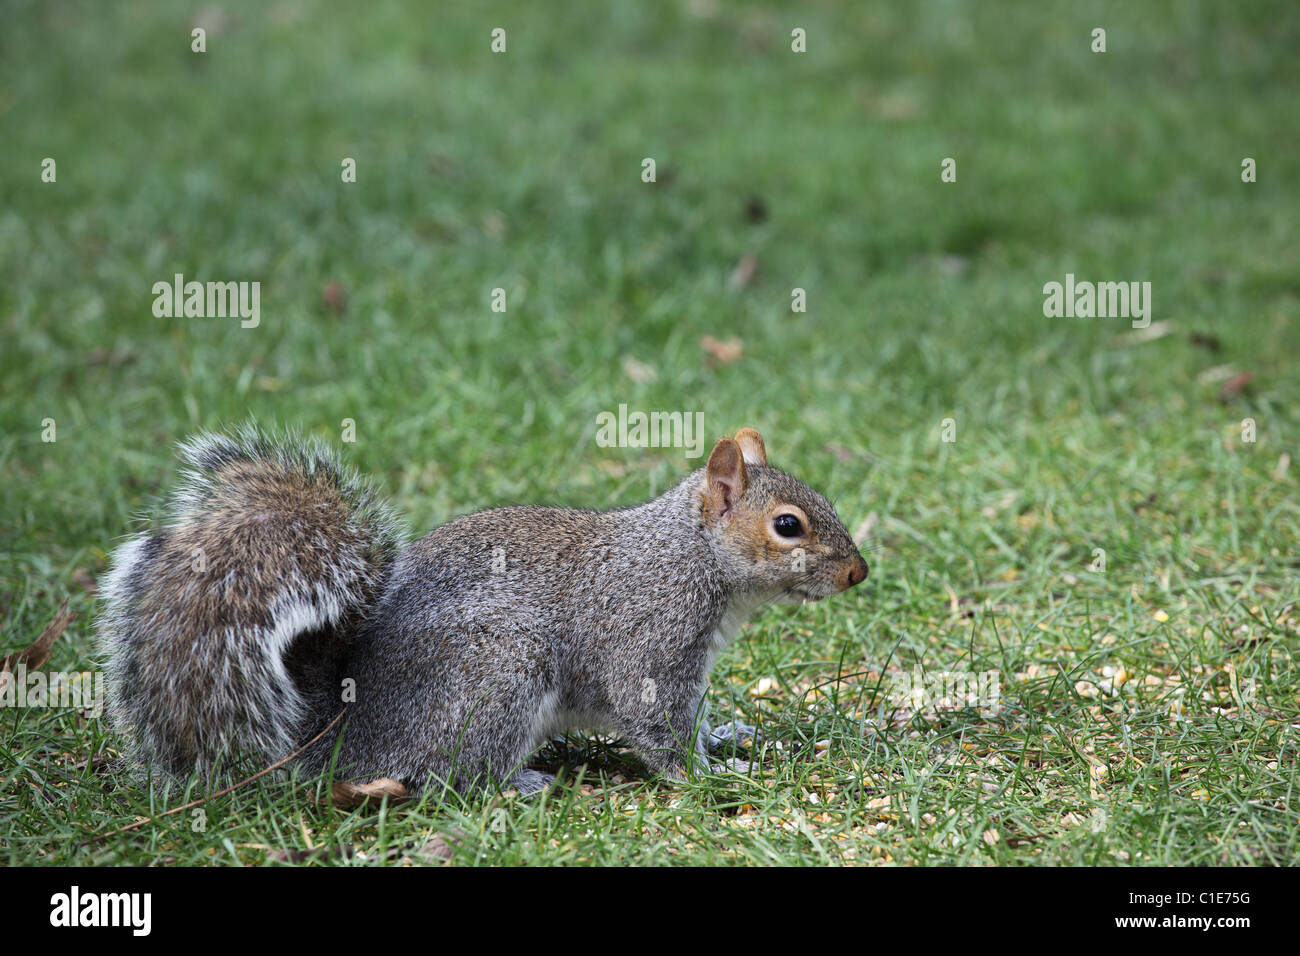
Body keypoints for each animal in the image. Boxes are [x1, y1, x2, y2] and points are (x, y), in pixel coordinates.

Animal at [96, 424, 868, 790]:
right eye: (789, 526)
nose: (858, 572)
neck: (689, 554)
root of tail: (336, 730)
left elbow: (695, 719)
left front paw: (727, 740)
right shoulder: (649, 639)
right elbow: (657, 726)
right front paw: (708, 776)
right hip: (497, 671)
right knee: (445, 776)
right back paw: (521, 781)